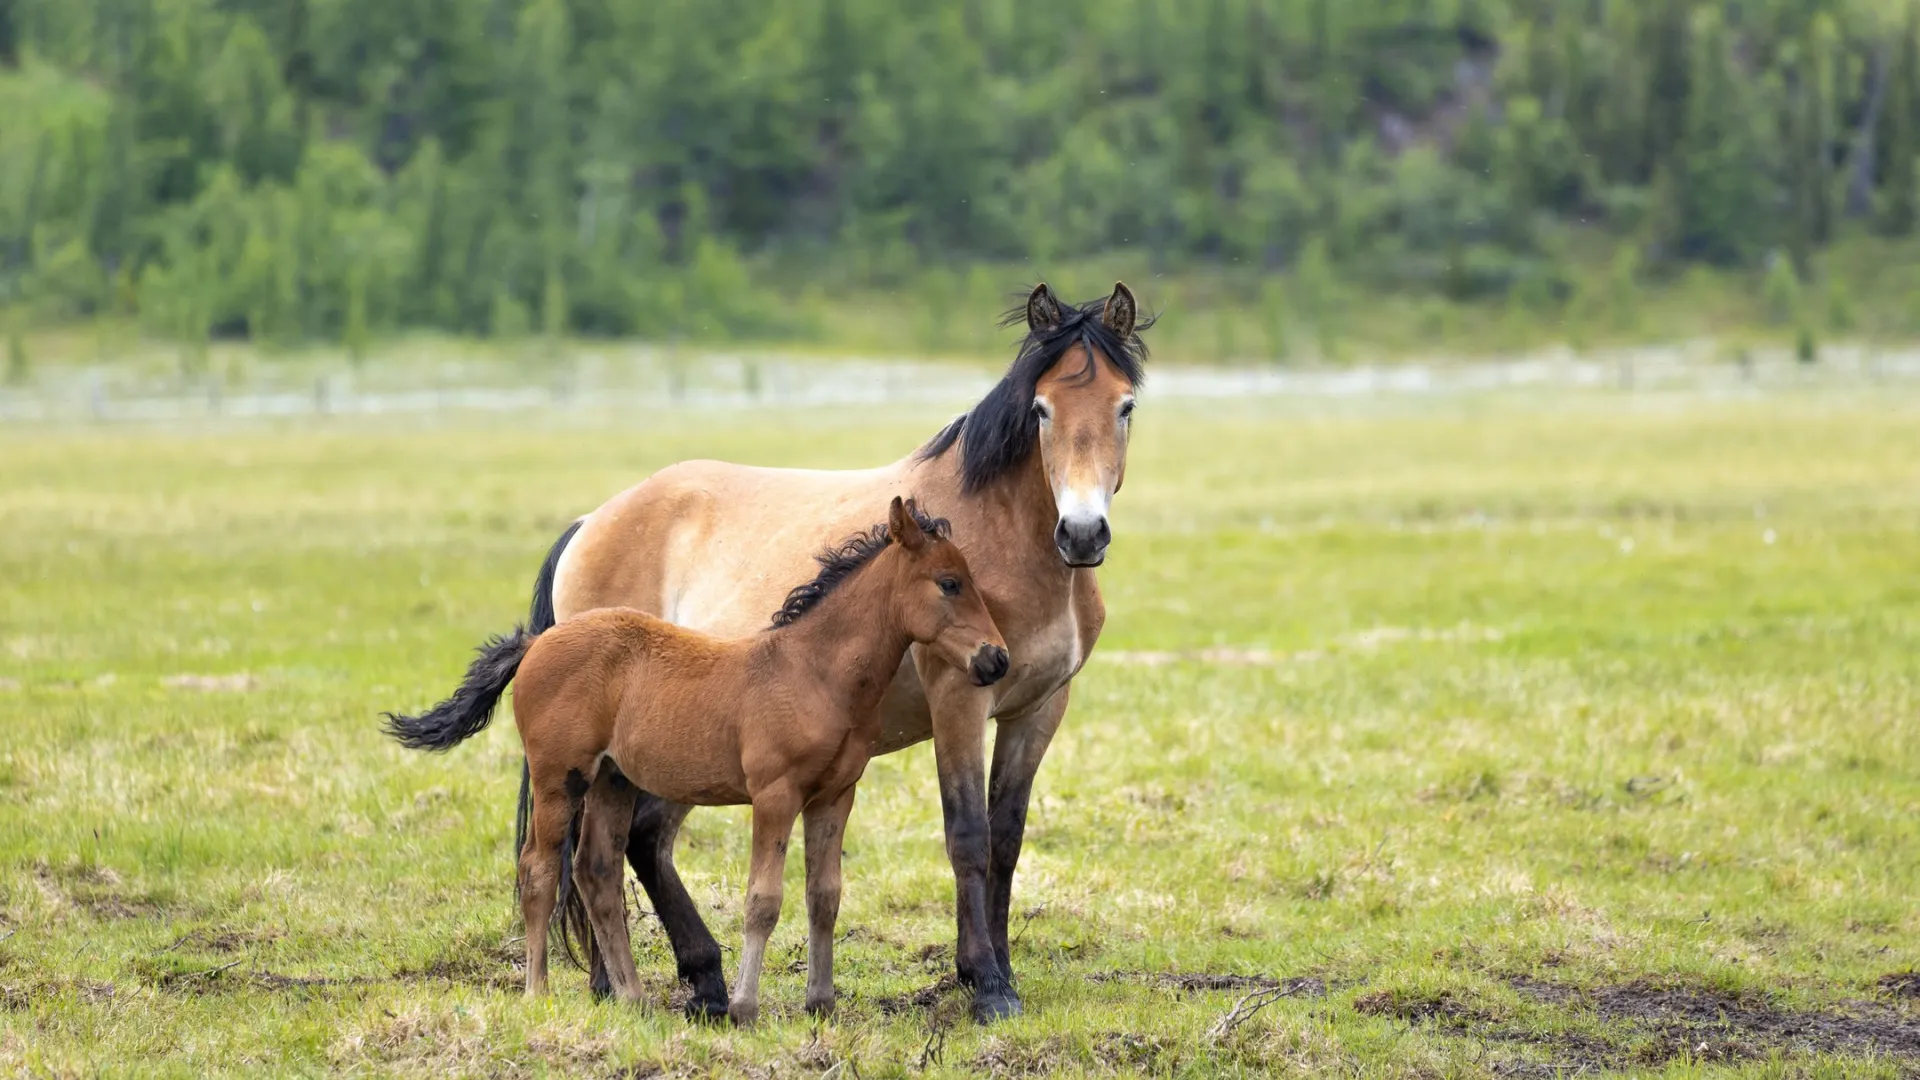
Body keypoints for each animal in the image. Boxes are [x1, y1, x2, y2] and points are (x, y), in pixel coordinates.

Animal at [380, 495, 998, 1014]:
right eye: (949, 583)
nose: (995, 660)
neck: (814, 671)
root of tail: (536, 644)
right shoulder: (775, 794)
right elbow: (763, 899)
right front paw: (745, 1008)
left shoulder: (835, 794)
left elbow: (824, 895)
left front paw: (821, 1003)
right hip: (560, 777)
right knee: (539, 869)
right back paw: (538, 992)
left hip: (612, 780)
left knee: (596, 870)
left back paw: (632, 997)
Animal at [518, 278, 1144, 1014]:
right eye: (1041, 409)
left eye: (1125, 405)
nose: (1083, 532)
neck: (1016, 543)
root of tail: (591, 523)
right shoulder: (959, 701)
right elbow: (969, 836)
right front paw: (985, 985)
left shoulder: (1038, 709)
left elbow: (1007, 840)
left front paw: (1002, 974)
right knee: (611, 848)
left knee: (625, 846)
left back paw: (667, 982)